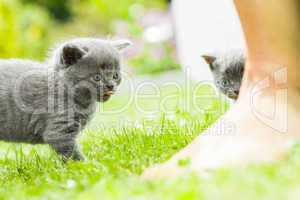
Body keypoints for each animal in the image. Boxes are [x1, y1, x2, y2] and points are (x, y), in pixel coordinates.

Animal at [0, 37, 131, 161]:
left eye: (115, 76)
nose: (110, 85)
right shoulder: (60, 132)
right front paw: (85, 165)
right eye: (97, 77)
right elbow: (72, 155)